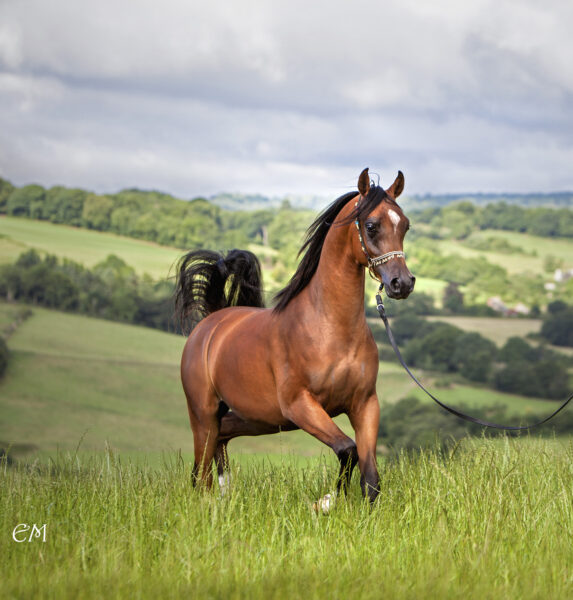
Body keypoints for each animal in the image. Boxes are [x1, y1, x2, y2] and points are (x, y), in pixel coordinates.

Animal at [174, 168, 415, 502]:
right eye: (371, 225)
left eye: (404, 224)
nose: (401, 283)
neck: (329, 329)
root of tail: (211, 323)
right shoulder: (301, 405)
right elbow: (348, 450)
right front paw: (327, 502)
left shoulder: (365, 404)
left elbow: (370, 478)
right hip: (203, 414)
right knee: (200, 473)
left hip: (254, 418)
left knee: (220, 442)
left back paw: (225, 494)